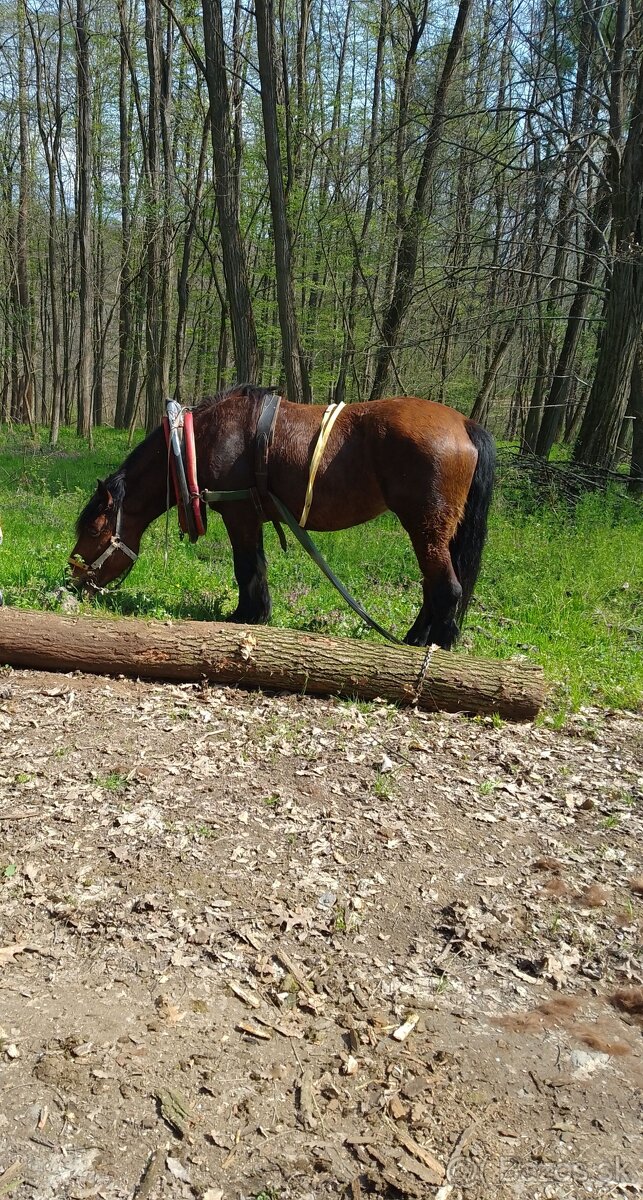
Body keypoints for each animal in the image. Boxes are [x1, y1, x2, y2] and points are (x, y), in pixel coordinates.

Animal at [68, 384, 491, 648]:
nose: (74, 582)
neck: (198, 441)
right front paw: (257, 612)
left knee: (446, 588)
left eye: (93, 529)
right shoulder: (251, 516)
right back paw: (417, 637)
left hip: (425, 526)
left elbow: (246, 567)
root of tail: (465, 424)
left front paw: (245, 615)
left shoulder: (239, 513)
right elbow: (257, 565)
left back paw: (434, 644)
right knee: (435, 587)